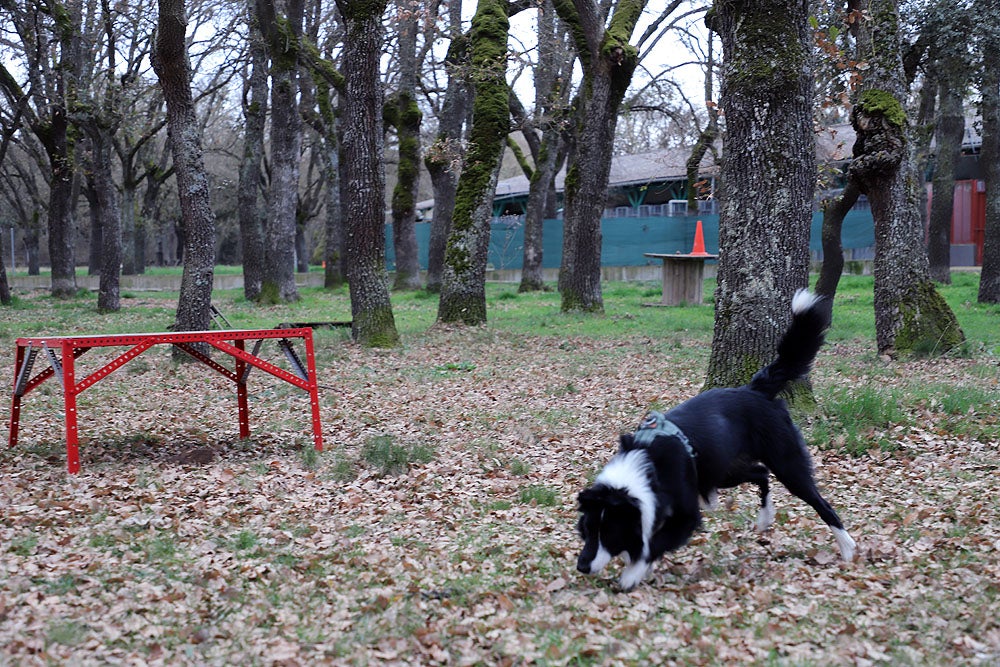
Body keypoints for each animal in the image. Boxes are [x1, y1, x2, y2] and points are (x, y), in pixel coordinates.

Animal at [580, 292, 860, 588]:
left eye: (610, 533)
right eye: (587, 530)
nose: (582, 566)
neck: (646, 464)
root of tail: (754, 390)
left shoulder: (686, 516)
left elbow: (653, 545)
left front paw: (631, 574)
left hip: (786, 465)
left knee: (821, 503)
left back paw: (847, 547)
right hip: (723, 470)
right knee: (761, 473)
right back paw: (765, 518)